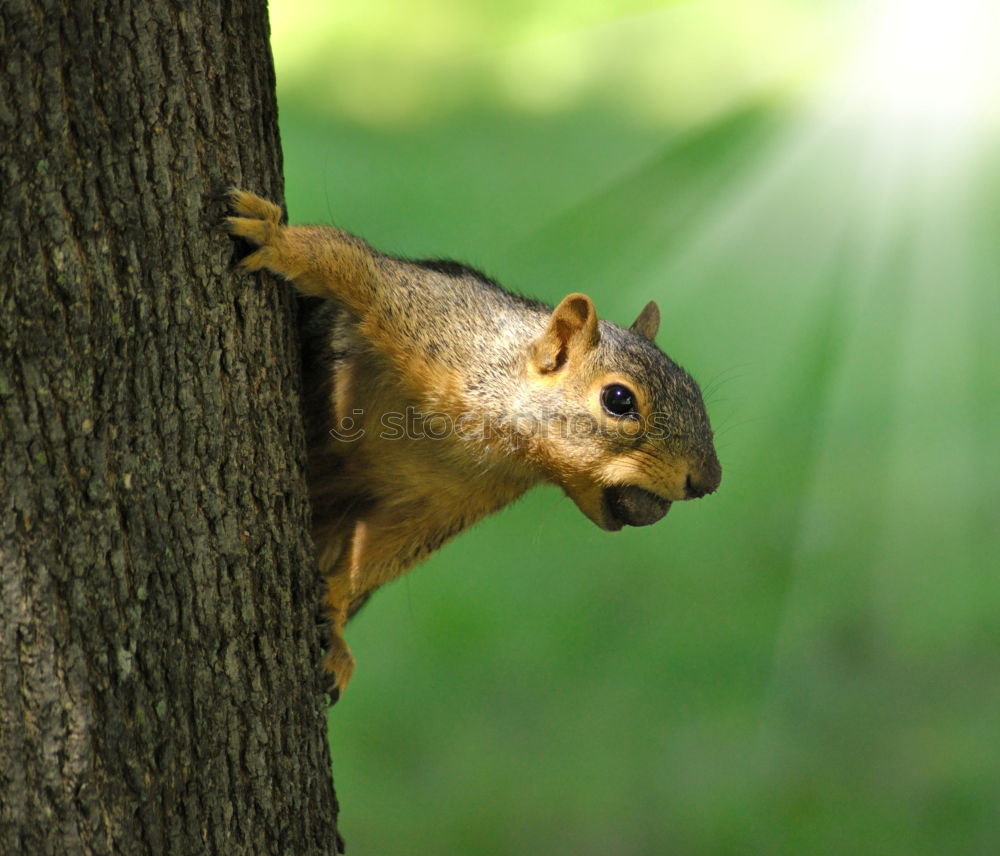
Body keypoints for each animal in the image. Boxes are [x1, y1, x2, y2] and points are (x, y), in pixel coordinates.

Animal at [224, 189, 724, 704]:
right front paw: (274, 238)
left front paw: (336, 614)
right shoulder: (424, 314)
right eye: (619, 400)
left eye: (695, 391)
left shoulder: (449, 504)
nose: (708, 481)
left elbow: (383, 554)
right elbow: (347, 261)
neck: (490, 431)